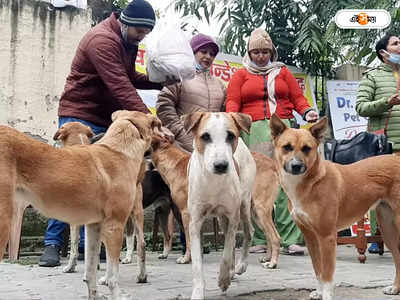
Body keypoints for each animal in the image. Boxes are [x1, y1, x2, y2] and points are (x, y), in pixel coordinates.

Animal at [0, 110, 161, 300]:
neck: (119, 150)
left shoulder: (93, 226)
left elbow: (90, 270)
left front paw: (94, 294)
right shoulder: (114, 226)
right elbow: (112, 276)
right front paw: (115, 293)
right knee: (141, 245)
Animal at [182, 111, 255, 298]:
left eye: (230, 136)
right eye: (205, 137)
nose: (221, 165)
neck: (213, 181)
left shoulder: (233, 215)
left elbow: (227, 252)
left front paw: (223, 279)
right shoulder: (195, 222)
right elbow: (197, 263)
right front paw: (198, 292)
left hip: (244, 203)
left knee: (247, 232)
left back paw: (239, 267)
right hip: (222, 218)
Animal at [270, 112, 400, 300]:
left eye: (306, 148)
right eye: (287, 147)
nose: (296, 166)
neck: (311, 182)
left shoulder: (327, 237)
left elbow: (327, 273)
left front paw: (326, 294)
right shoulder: (311, 237)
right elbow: (317, 270)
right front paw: (319, 292)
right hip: (388, 229)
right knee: (398, 258)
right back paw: (395, 288)